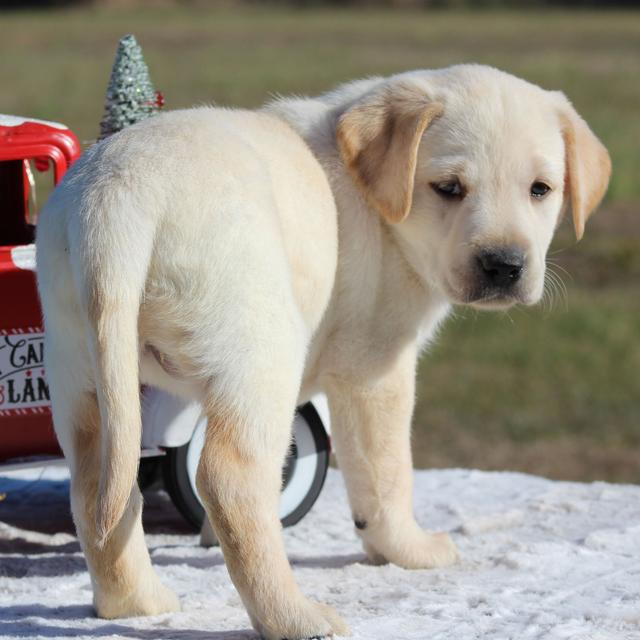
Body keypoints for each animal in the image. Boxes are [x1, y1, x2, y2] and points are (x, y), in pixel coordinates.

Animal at [36, 66, 608, 640]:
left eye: (541, 190)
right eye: (449, 188)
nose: (504, 265)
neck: (381, 210)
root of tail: (117, 202)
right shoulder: (375, 368)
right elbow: (386, 473)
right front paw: (411, 550)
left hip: (81, 367)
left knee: (97, 485)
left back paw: (135, 602)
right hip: (263, 350)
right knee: (230, 479)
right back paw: (295, 616)